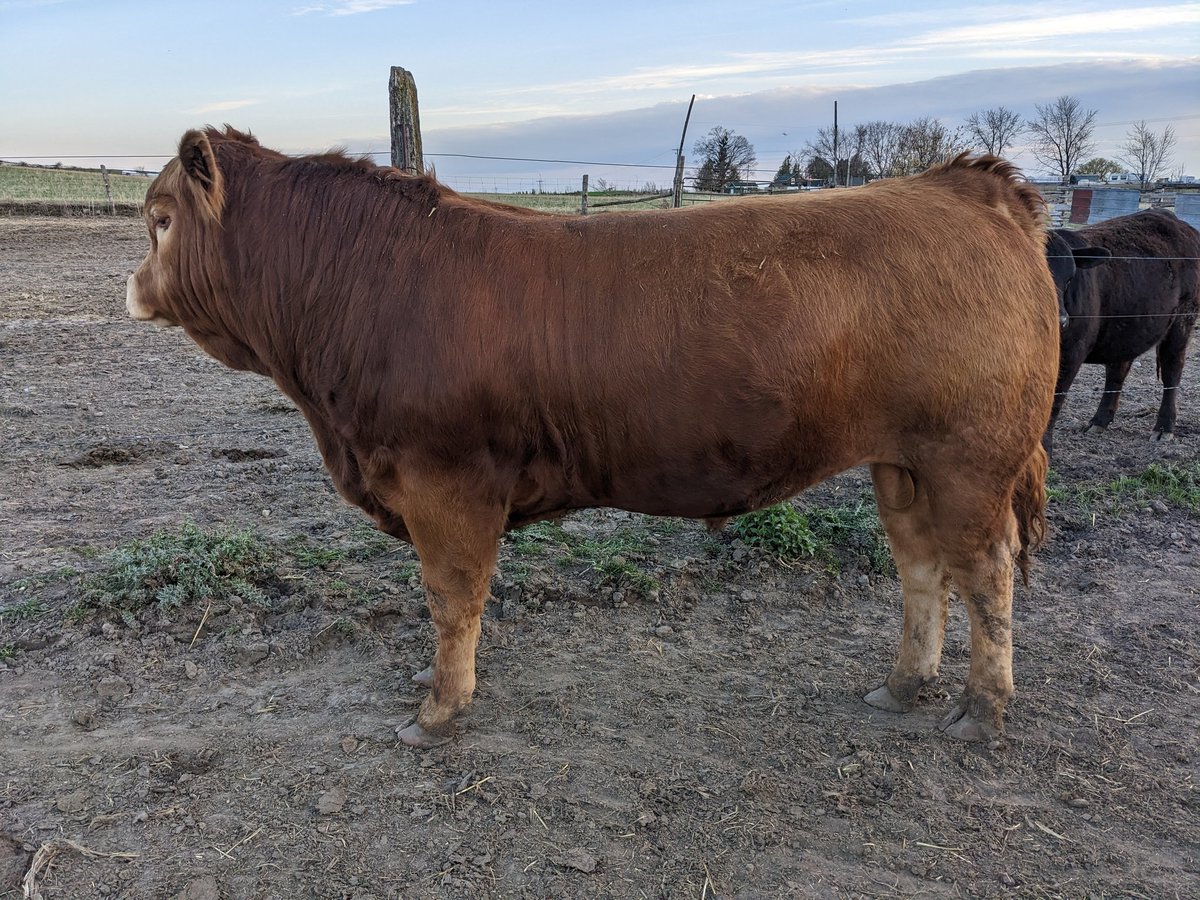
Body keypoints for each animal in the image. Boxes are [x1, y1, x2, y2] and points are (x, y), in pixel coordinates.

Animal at [127, 128, 1059, 748]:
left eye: (161, 219)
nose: (133, 285)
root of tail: (962, 185)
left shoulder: (445, 481)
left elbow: (452, 597)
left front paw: (439, 710)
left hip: (970, 459)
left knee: (985, 571)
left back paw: (983, 710)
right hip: (901, 463)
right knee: (921, 567)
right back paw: (903, 687)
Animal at [1045, 210, 1200, 455]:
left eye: (1070, 278)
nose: (1060, 321)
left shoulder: (1071, 353)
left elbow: (1054, 403)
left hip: (1182, 321)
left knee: (1172, 370)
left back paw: (1164, 428)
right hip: (1126, 328)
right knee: (1117, 371)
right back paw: (1099, 421)